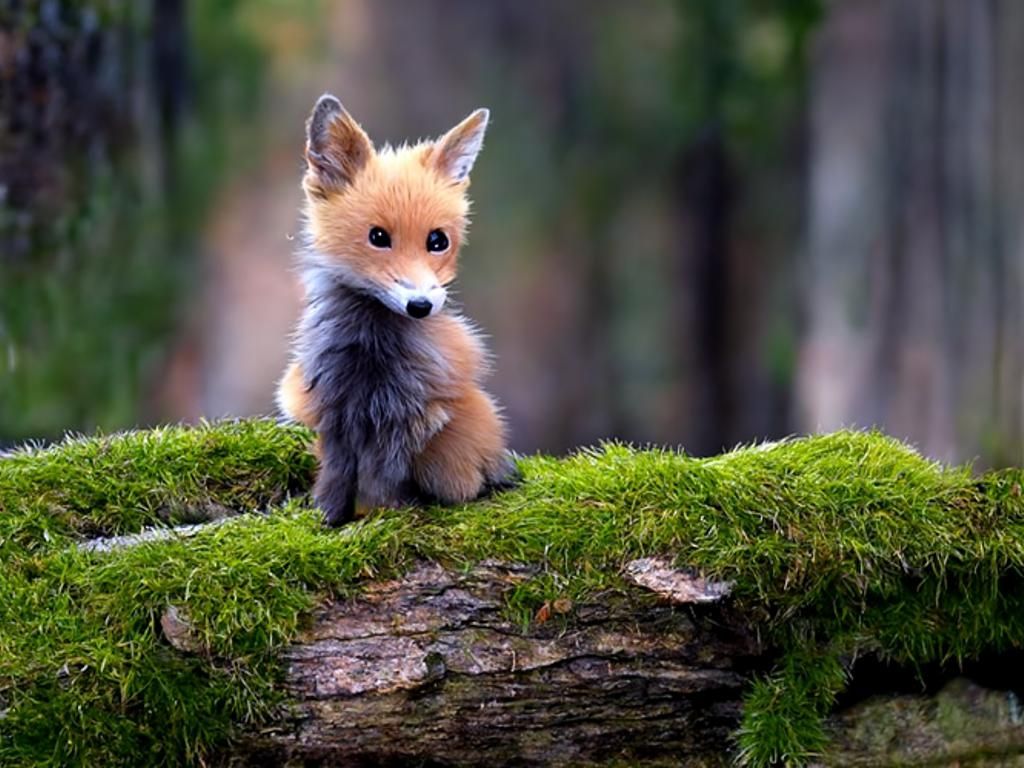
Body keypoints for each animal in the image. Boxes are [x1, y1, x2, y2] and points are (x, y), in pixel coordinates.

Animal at [276, 94, 518, 526]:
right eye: (378, 237)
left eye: (438, 241)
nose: (420, 306)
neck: (371, 354)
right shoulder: (334, 408)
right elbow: (335, 474)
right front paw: (326, 518)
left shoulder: (410, 416)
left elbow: (381, 478)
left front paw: (382, 517)